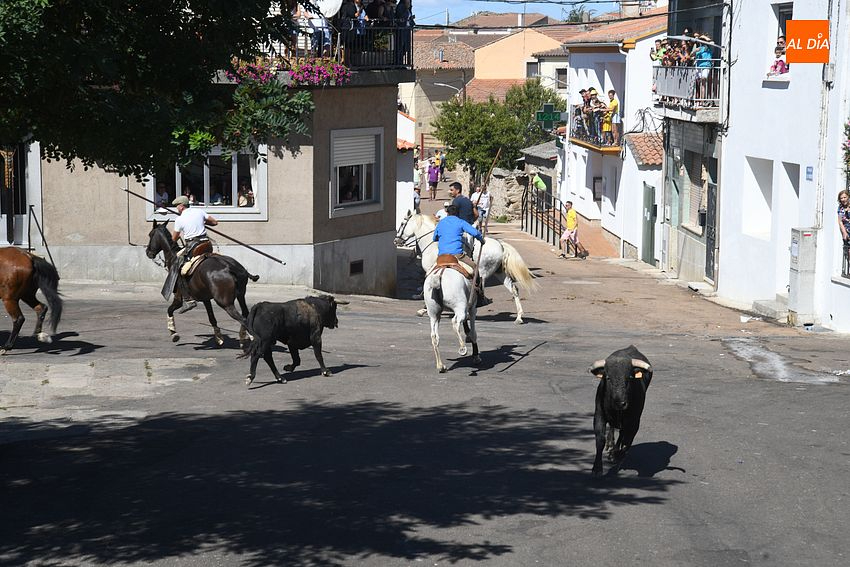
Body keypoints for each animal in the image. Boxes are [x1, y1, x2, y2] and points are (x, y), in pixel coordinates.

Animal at [395, 212, 536, 324]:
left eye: (402, 224)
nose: (396, 240)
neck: (433, 245)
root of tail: (501, 245)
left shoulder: (432, 272)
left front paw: (424, 309)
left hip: (483, 272)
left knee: (479, 289)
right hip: (500, 273)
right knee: (514, 290)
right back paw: (519, 317)